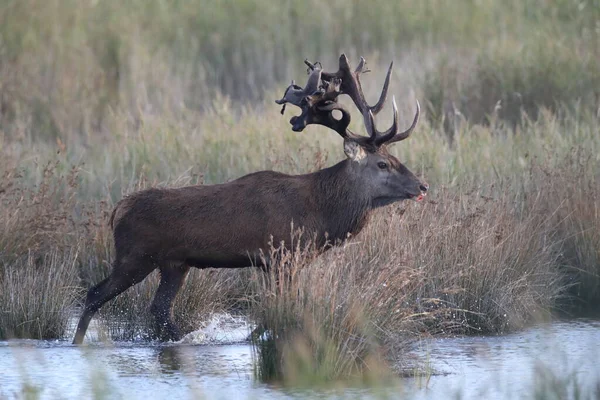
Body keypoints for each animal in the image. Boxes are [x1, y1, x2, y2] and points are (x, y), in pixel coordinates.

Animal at [74, 54, 426, 344]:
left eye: (395, 158)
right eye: (382, 164)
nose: (421, 186)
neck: (319, 214)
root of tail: (118, 209)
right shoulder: (280, 255)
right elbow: (277, 310)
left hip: (174, 264)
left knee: (159, 309)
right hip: (135, 255)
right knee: (94, 293)